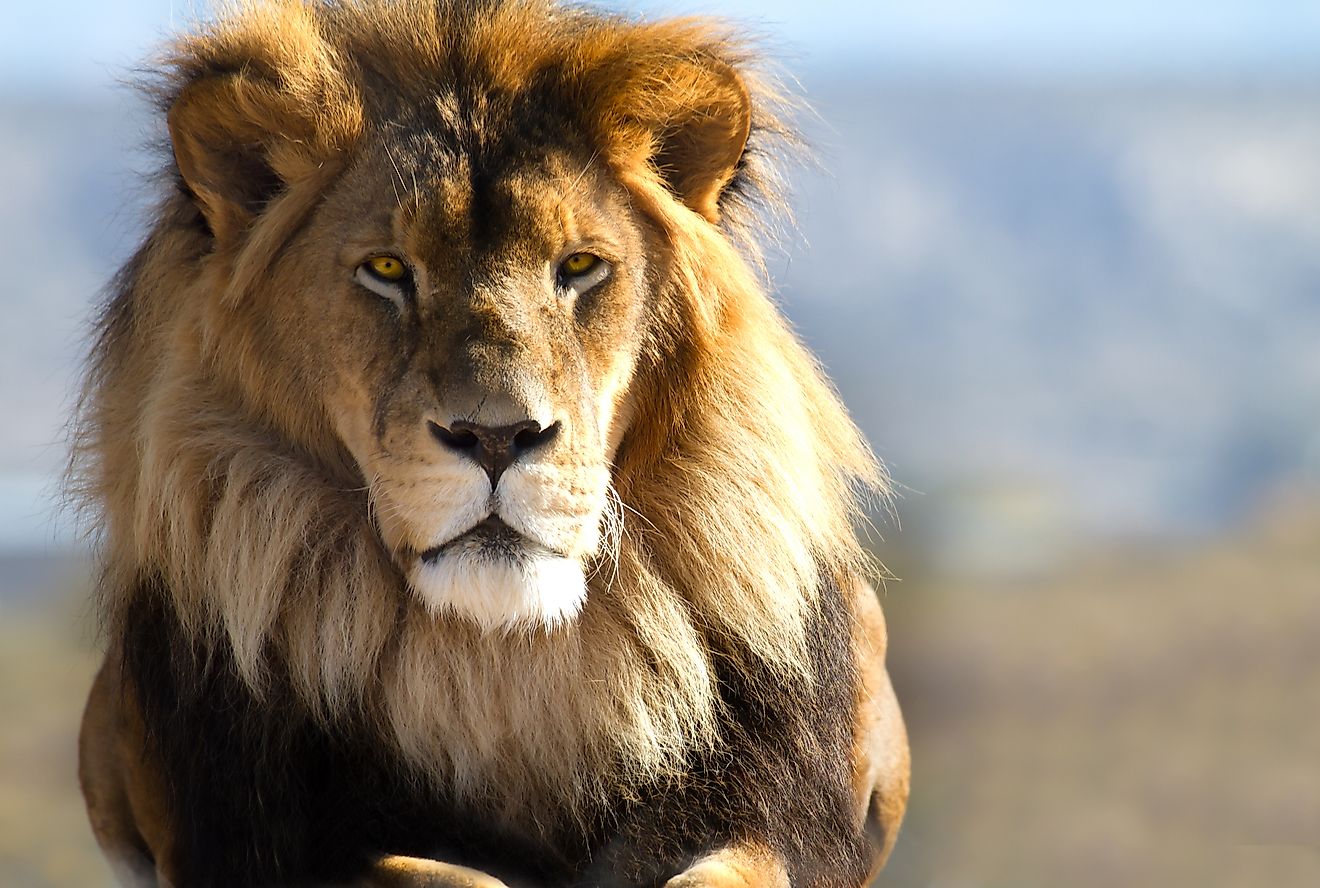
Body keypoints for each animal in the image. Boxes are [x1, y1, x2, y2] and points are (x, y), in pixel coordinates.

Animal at [72, 1, 908, 886]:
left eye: (579, 265)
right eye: (386, 269)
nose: (499, 435)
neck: (501, 663)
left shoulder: (767, 808)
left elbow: (730, 868)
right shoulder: (270, 835)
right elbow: (430, 869)